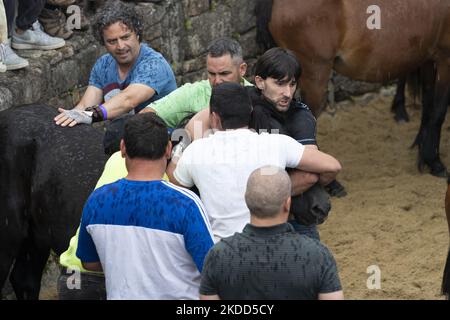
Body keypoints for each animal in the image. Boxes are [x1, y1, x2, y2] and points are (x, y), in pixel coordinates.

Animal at [256, 0, 450, 175]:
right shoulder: (444, 58)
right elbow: (439, 112)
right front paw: (434, 161)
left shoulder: (427, 57)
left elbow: (429, 104)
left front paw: (422, 149)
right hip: (314, 75)